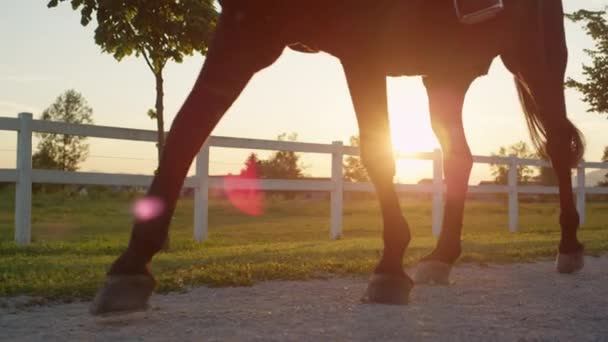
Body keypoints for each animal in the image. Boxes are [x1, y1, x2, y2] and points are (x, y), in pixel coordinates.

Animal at [90, 0, 584, 316]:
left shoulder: (362, 45)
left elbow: (377, 150)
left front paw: (389, 268)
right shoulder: (249, 27)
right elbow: (186, 129)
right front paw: (131, 266)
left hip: (535, 58)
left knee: (558, 148)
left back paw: (569, 248)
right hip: (444, 74)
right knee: (458, 157)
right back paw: (441, 257)